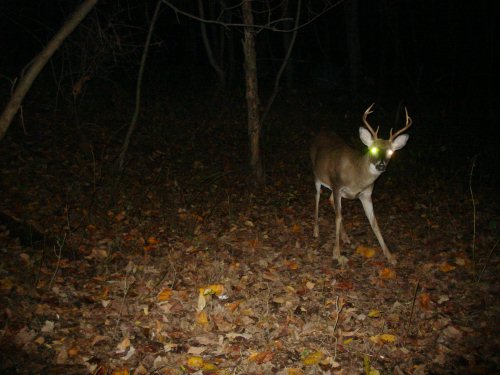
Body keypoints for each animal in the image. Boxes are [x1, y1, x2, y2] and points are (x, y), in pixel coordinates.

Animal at [310, 104, 412, 266]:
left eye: (390, 152)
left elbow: (374, 222)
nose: (381, 165)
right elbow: (337, 217)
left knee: (330, 200)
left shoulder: (366, 194)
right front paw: (337, 254)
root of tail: (321, 132)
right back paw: (316, 231)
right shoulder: (337, 185)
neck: (357, 177)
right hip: (317, 175)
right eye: (373, 149)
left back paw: (345, 237)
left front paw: (390, 256)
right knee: (317, 198)